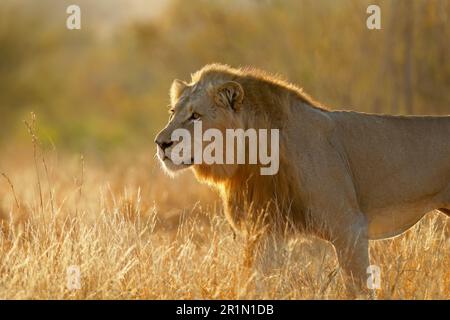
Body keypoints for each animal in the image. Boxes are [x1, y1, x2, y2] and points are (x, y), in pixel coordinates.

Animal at [156, 63, 450, 292]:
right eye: (172, 113)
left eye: (195, 116)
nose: (160, 143)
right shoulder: (265, 231)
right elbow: (253, 282)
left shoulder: (349, 227)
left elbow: (358, 288)